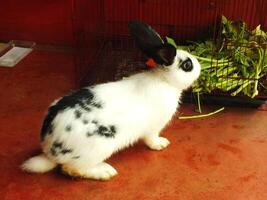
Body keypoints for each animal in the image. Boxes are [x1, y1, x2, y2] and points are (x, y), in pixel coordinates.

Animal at [21, 21, 201, 180]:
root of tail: (50, 151)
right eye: (187, 65)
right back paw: (105, 172)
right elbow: (151, 139)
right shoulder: (153, 128)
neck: (164, 80)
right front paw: (161, 144)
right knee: (71, 168)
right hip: (98, 148)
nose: (199, 66)